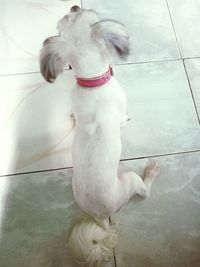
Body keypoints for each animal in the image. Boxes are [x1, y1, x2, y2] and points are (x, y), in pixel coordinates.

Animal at [39, 5, 160, 266]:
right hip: (129, 182)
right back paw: (151, 172)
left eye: (65, 20)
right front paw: (126, 120)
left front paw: (73, 118)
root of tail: (101, 216)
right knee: (145, 192)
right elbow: (123, 118)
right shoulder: (121, 107)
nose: (74, 5)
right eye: (87, 14)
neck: (92, 82)